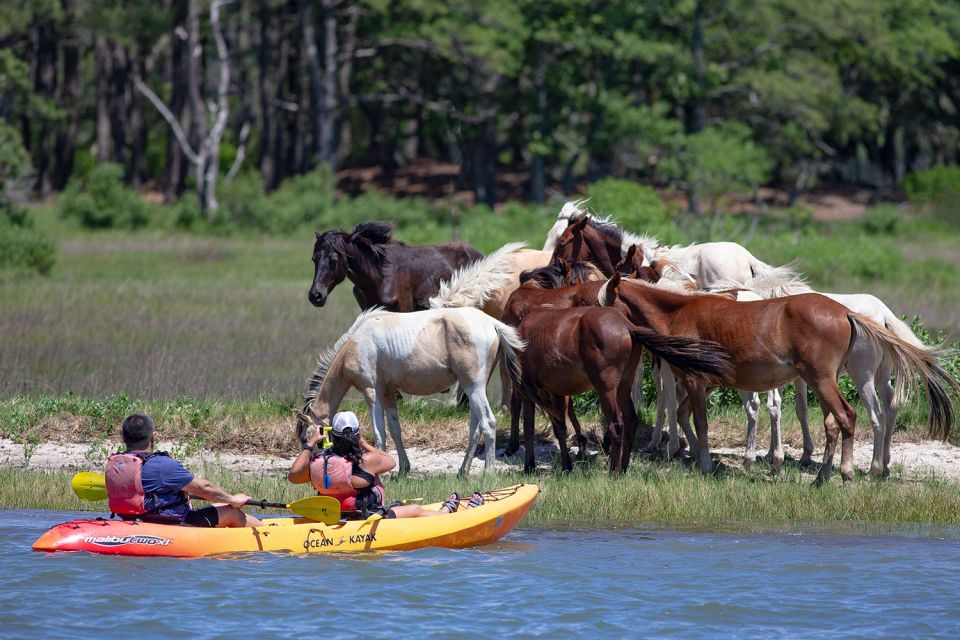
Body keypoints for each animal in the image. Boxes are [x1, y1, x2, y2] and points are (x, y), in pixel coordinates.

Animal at [296, 304, 520, 476]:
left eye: (308, 439)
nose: (309, 467)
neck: (356, 344)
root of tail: (492, 323)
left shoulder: (372, 393)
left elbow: (379, 432)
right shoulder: (388, 394)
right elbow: (395, 430)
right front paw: (403, 468)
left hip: (474, 387)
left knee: (488, 423)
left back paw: (488, 472)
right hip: (473, 388)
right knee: (475, 428)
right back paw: (462, 471)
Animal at [512, 304, 732, 476]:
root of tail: (627, 326)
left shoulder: (529, 392)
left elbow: (529, 426)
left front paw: (529, 466)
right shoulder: (558, 392)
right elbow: (559, 428)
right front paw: (567, 466)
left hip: (606, 390)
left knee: (617, 425)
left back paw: (613, 470)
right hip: (623, 387)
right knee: (631, 420)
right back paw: (623, 468)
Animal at [596, 272, 956, 482]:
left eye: (601, 301)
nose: (594, 326)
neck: (680, 313)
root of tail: (846, 312)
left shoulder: (697, 382)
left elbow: (699, 421)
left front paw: (705, 464)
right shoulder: (705, 384)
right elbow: (685, 416)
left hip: (826, 379)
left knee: (848, 417)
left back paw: (846, 473)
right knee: (839, 422)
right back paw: (824, 475)